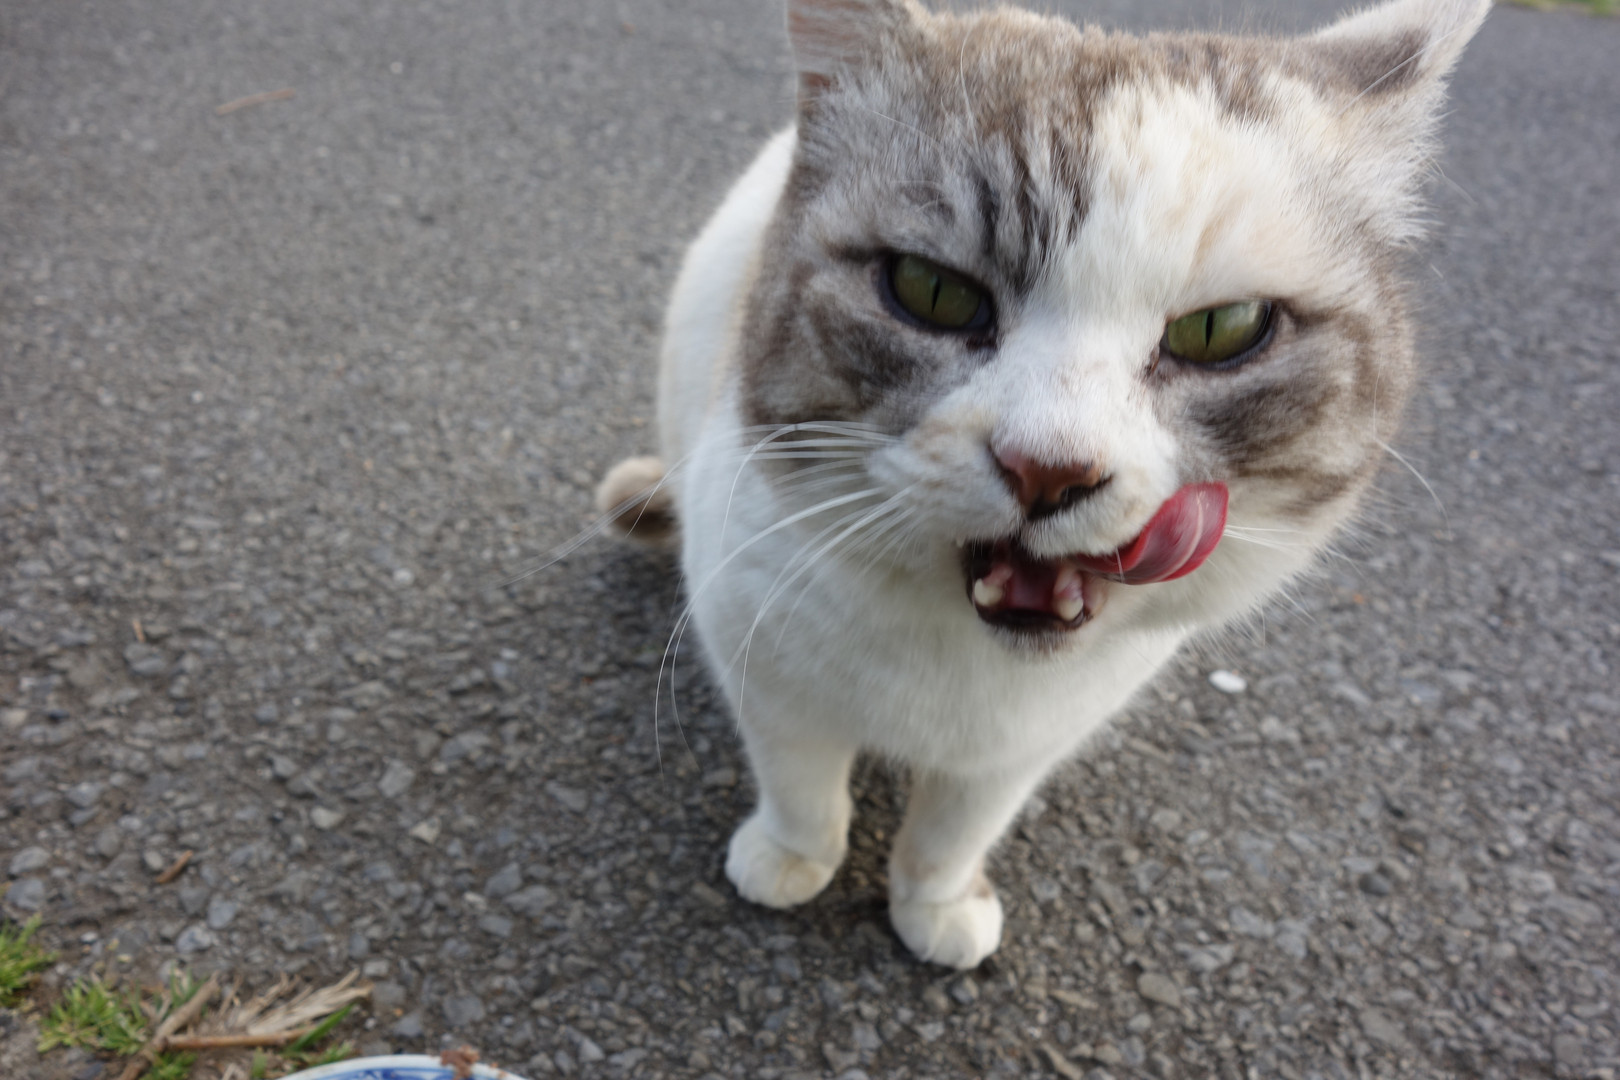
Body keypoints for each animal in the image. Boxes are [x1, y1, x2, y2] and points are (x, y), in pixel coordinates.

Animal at [594, 0, 1489, 969]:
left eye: (1223, 328)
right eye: (930, 291)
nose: (1050, 468)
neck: (966, 662)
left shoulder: (1027, 744)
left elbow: (953, 830)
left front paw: (936, 904)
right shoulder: (761, 666)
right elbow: (803, 790)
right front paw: (791, 862)